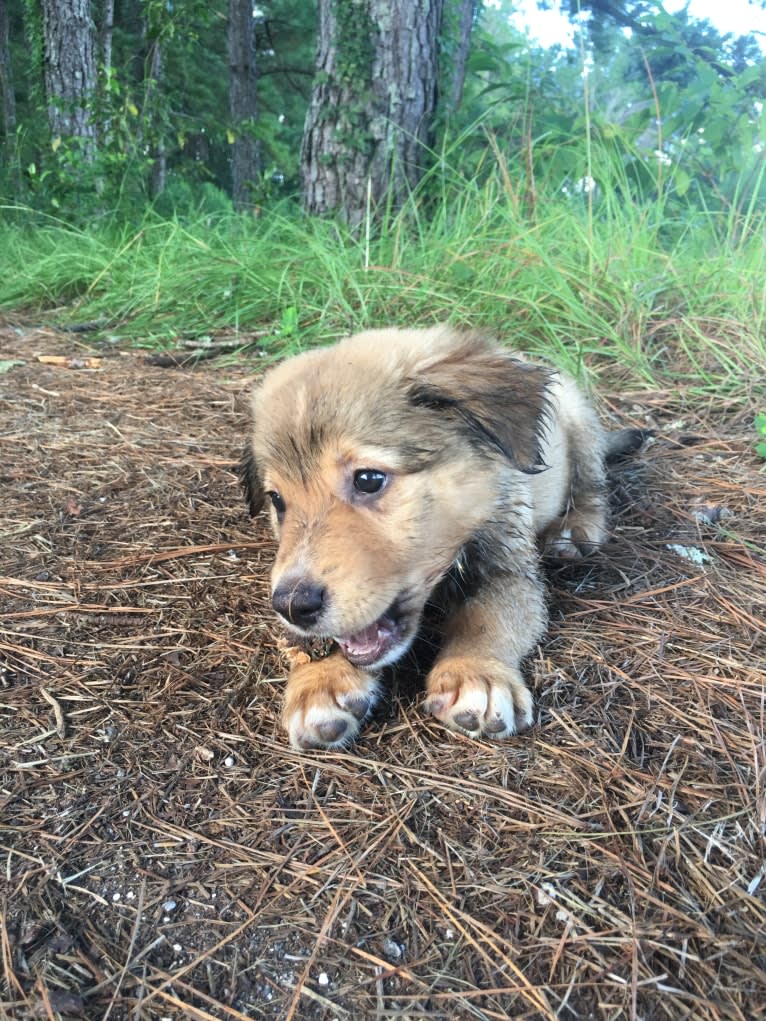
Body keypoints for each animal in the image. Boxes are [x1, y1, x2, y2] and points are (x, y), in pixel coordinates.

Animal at [241, 324, 649, 751]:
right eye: (277, 500)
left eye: (368, 479)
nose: (292, 605)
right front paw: (321, 683)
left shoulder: (508, 564)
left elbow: (489, 616)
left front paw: (477, 675)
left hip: (576, 416)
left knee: (593, 483)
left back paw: (577, 528)